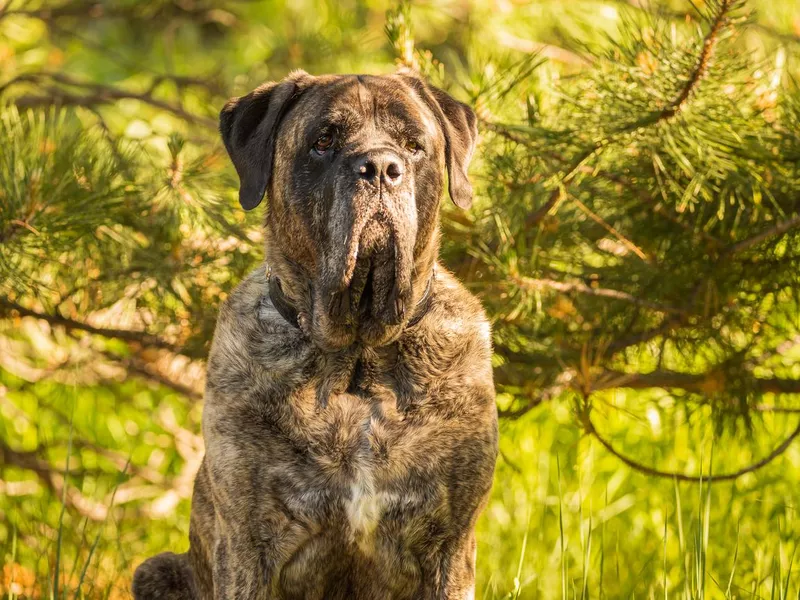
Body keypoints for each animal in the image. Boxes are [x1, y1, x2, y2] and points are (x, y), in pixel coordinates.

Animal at [134, 71, 496, 600]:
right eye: (323, 141)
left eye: (414, 146)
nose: (381, 167)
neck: (359, 361)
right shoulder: (247, 545)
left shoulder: (449, 546)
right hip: (156, 570)